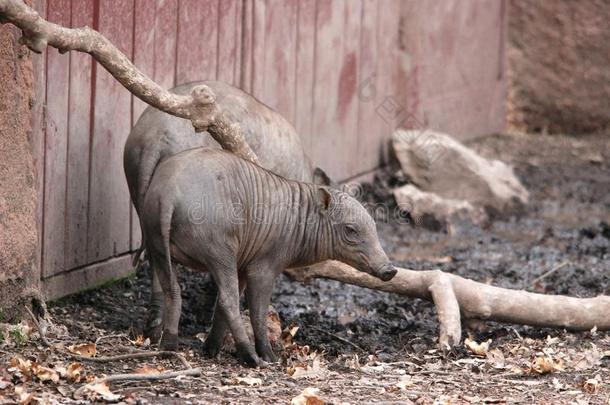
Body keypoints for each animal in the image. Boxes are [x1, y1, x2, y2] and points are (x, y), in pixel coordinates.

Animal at [142, 148, 396, 366]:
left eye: (374, 227)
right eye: (350, 230)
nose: (390, 270)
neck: (300, 219)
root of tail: (168, 193)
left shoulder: (242, 266)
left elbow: (221, 308)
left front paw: (209, 350)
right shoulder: (263, 267)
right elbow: (257, 311)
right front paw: (269, 355)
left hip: (157, 245)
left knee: (175, 291)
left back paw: (169, 347)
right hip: (219, 250)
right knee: (228, 300)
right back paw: (251, 357)